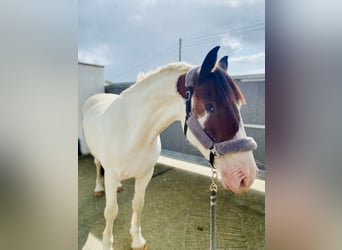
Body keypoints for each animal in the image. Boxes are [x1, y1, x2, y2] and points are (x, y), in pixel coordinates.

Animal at [83, 46, 258, 249]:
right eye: (210, 106)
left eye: (239, 106)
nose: (246, 176)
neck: (132, 132)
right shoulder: (111, 175)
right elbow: (111, 211)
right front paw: (107, 243)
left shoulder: (145, 174)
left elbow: (138, 204)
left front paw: (137, 240)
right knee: (97, 166)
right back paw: (98, 188)